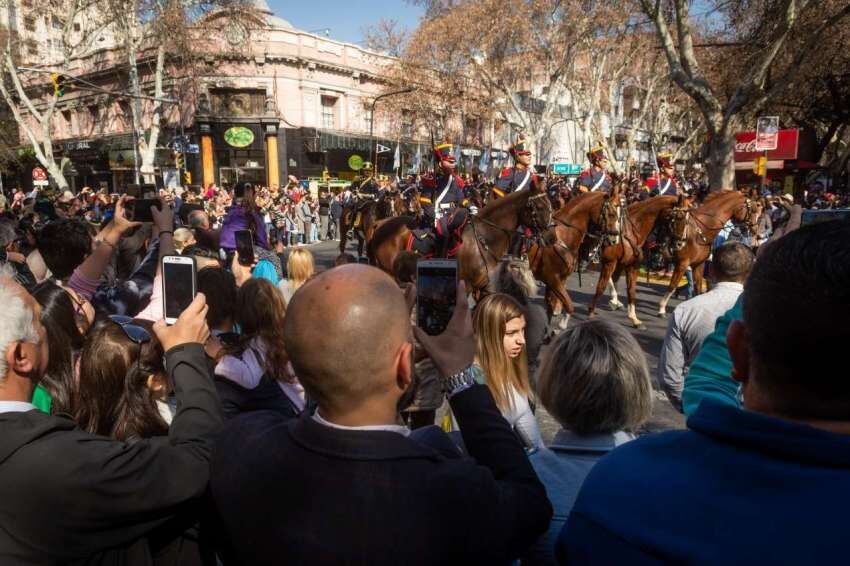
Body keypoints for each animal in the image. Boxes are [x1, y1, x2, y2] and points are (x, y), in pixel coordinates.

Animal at [528, 185, 620, 332]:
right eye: (611, 214)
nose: (614, 239)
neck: (562, 236)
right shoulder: (553, 279)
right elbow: (569, 306)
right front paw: (562, 324)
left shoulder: (556, 281)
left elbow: (550, 307)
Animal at [588, 195, 680, 328]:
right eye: (676, 218)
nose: (679, 242)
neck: (632, 232)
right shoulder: (610, 262)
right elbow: (602, 285)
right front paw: (594, 310)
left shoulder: (631, 265)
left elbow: (631, 290)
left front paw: (634, 318)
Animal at [656, 189, 760, 318]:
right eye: (753, 210)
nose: (755, 230)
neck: (700, 232)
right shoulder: (682, 263)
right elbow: (672, 286)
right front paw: (661, 309)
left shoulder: (699, 264)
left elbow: (698, 288)